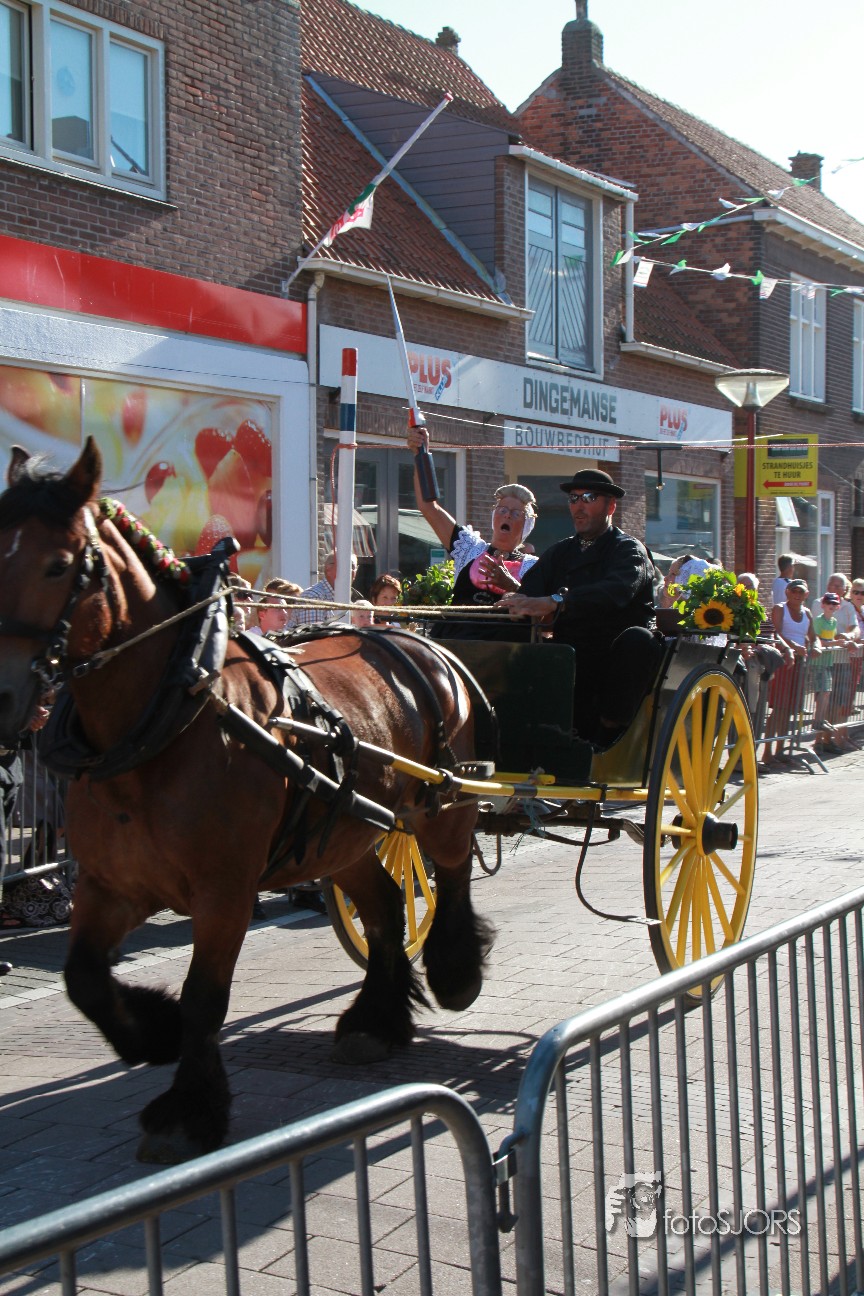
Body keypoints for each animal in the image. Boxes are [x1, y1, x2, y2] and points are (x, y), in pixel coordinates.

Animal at [0, 438, 492, 1164]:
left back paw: (455, 975)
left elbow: (206, 996)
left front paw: (188, 1110)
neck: (174, 713)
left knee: (451, 873)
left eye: (60, 563)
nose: (2, 699)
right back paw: (375, 1020)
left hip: (440, 805)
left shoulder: (225, 890)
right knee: (381, 906)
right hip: (342, 831)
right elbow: (82, 976)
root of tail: (416, 639)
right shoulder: (109, 883)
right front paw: (154, 1031)